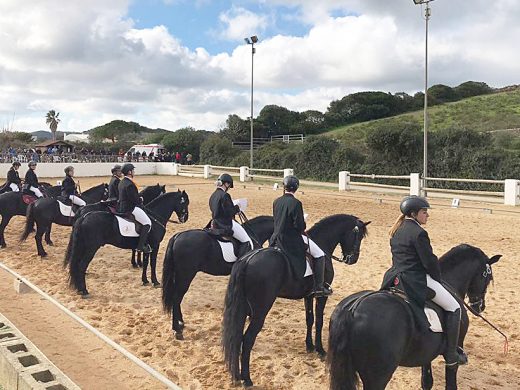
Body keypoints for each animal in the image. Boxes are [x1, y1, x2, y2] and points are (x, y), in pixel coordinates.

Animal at [221, 215, 368, 388]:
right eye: (358, 236)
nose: (353, 259)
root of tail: (247, 260)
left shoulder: (308, 296)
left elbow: (309, 319)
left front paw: (309, 346)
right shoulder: (321, 296)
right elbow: (319, 321)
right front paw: (320, 349)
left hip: (243, 308)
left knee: (236, 337)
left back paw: (237, 376)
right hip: (260, 311)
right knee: (248, 338)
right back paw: (247, 379)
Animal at [328, 245, 502, 390]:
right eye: (487, 277)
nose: (480, 306)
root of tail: (352, 308)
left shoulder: (426, 353)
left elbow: (427, 381)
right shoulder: (453, 351)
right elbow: (451, 382)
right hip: (378, 376)